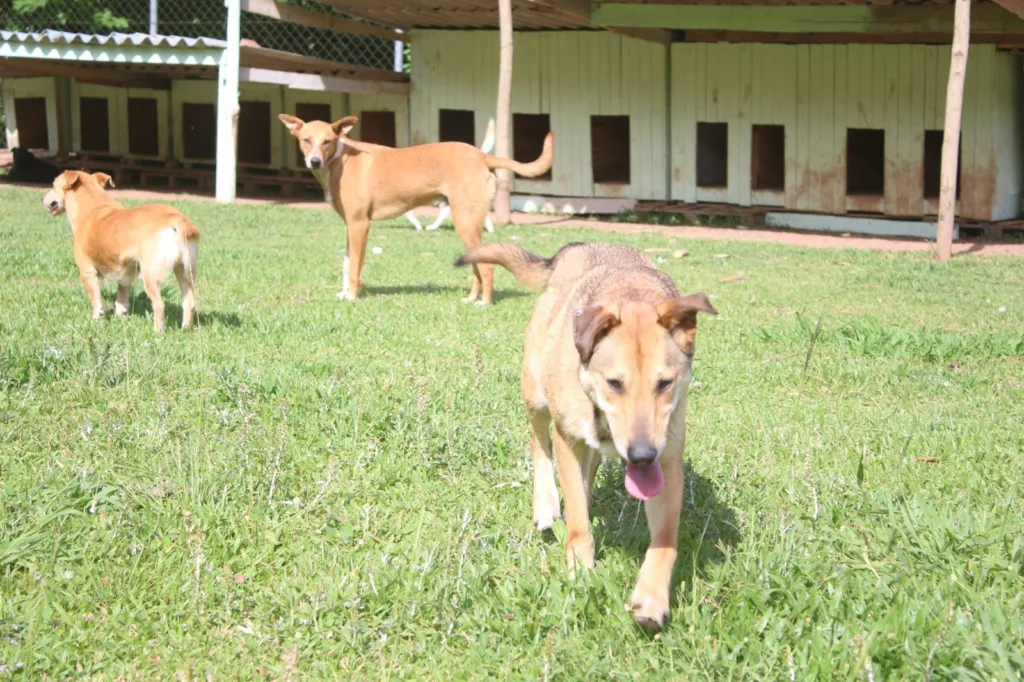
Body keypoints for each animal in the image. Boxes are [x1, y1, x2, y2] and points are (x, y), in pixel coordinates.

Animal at [41, 168, 198, 329]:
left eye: (53, 186)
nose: (41, 198)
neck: (92, 205)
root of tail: (176, 218)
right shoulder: (126, 275)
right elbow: (121, 302)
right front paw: (121, 321)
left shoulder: (87, 272)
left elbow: (96, 300)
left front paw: (97, 320)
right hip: (185, 271)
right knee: (189, 303)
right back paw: (186, 329)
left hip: (150, 275)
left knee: (159, 304)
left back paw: (157, 331)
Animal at [278, 113, 552, 303]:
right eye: (306, 140)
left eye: (327, 141)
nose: (314, 161)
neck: (340, 160)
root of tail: (481, 155)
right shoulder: (349, 227)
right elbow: (346, 264)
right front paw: (345, 293)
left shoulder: (359, 225)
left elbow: (354, 267)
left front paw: (353, 296)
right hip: (468, 226)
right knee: (477, 266)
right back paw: (472, 298)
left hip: (465, 222)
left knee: (486, 267)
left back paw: (484, 303)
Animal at [460, 241, 716, 630]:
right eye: (614, 383)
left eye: (664, 383)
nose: (642, 455)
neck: (631, 296)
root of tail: (576, 248)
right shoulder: (569, 439)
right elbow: (578, 522)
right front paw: (580, 571)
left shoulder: (669, 461)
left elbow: (665, 542)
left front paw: (651, 598)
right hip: (535, 393)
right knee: (539, 444)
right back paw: (547, 504)